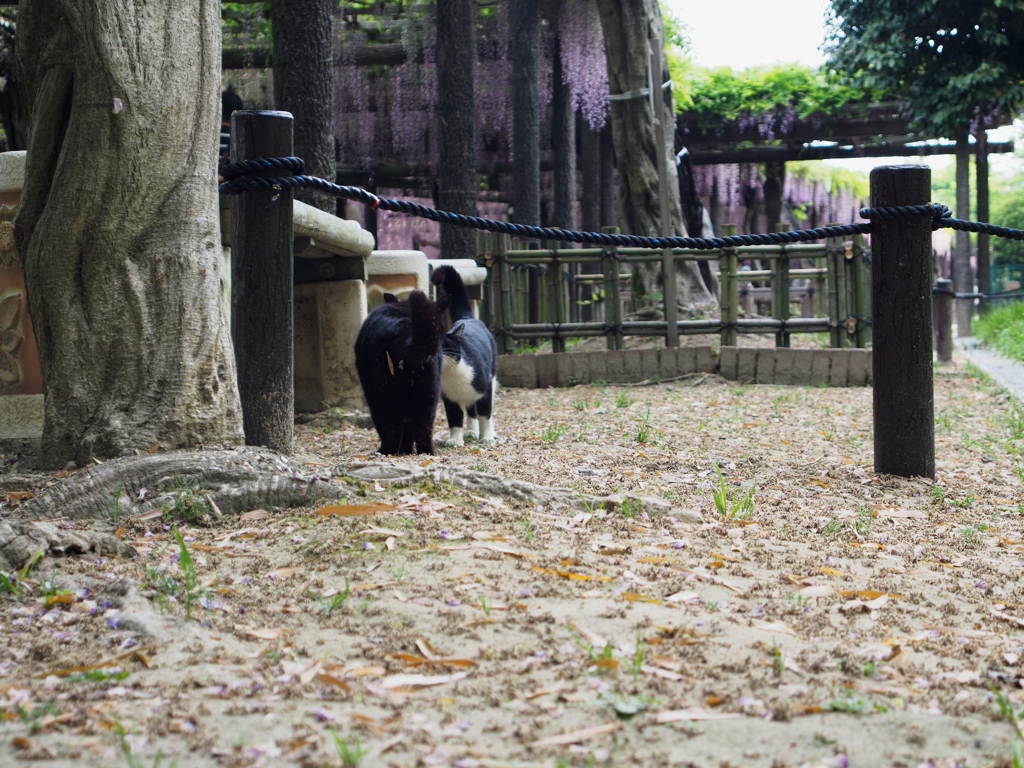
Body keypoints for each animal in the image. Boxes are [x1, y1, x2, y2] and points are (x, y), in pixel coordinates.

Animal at [354, 290, 450, 454]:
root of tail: (402, 331)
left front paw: (405, 450)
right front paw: (406, 450)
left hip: (381, 398)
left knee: (389, 430)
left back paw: (386, 452)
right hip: (428, 397)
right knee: (423, 429)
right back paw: (428, 452)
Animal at [430, 266, 497, 448]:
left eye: (442, 344)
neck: (452, 375)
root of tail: (467, 318)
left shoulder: (485, 388)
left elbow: (485, 414)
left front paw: (487, 437)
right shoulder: (449, 398)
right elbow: (454, 419)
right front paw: (455, 440)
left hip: (492, 377)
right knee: (470, 410)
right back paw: (471, 431)